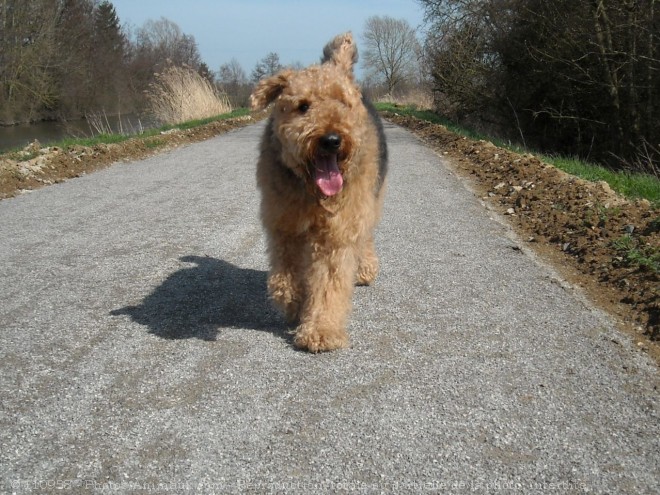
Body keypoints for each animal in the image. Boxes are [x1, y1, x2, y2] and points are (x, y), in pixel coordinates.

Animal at [251, 32, 386, 352]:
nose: (332, 139)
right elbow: (284, 278)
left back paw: (365, 268)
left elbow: (328, 284)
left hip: (368, 203)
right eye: (303, 106)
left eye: (343, 103)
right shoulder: (283, 226)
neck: (311, 191)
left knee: (366, 237)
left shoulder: (335, 235)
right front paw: (293, 303)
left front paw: (321, 331)